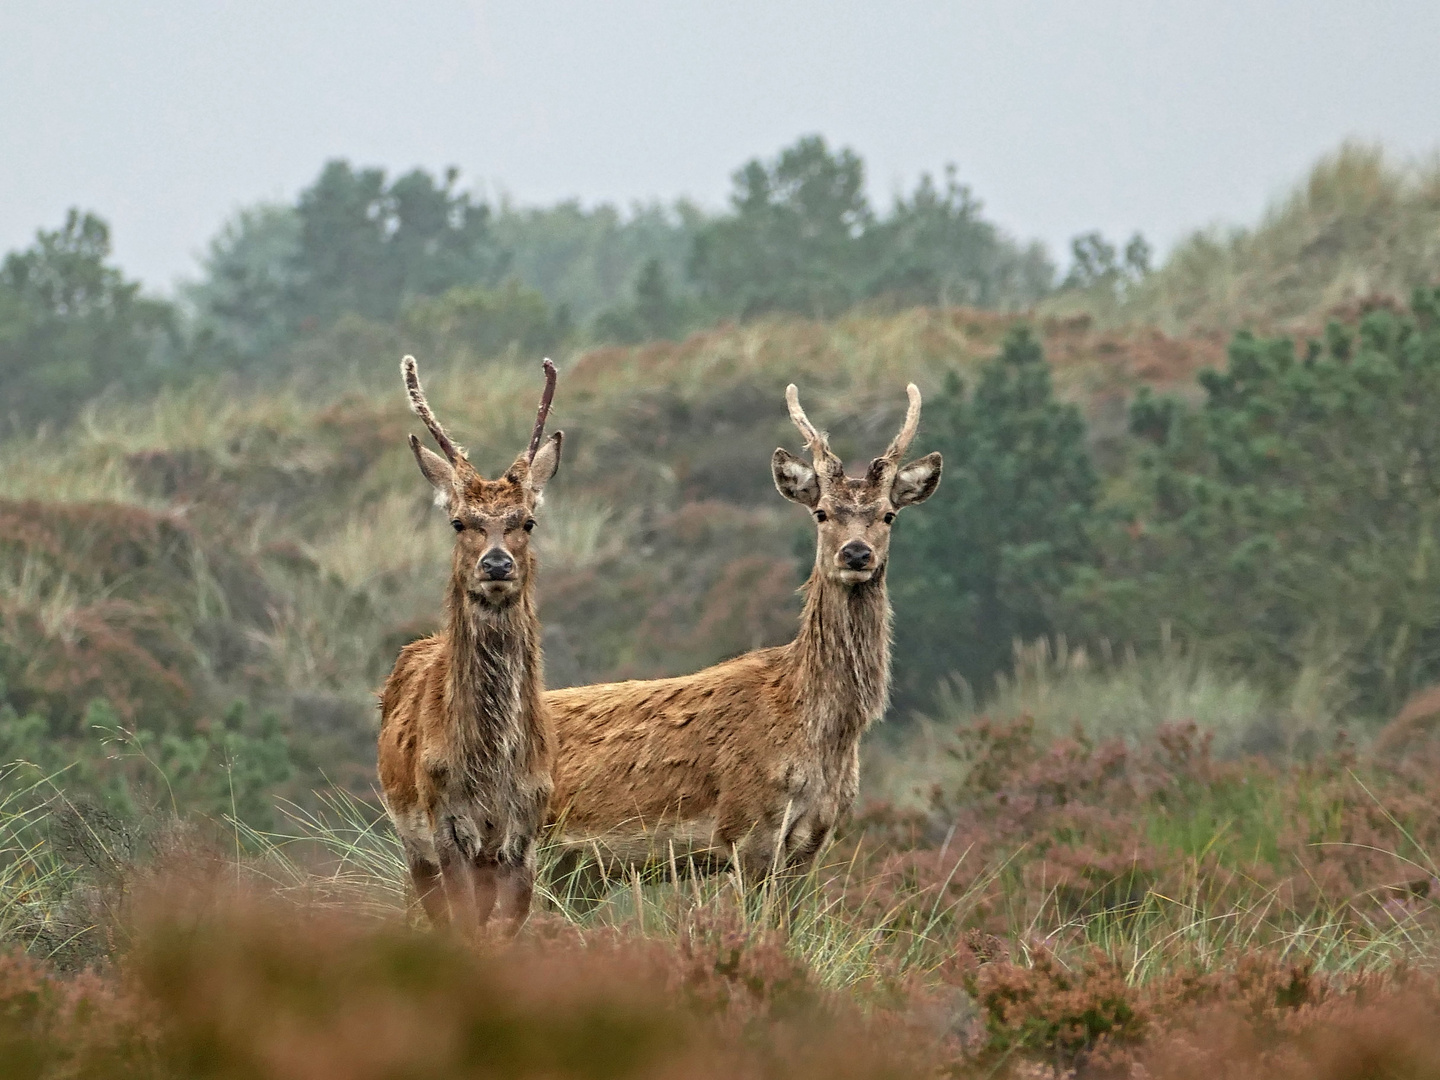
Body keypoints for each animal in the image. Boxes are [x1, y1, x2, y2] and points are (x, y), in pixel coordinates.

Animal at [377, 357, 561, 938]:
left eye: (527, 521)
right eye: (461, 522)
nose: (496, 564)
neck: (489, 770)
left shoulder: (527, 822)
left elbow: (505, 925)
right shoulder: (445, 817)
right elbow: (463, 924)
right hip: (409, 834)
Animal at [544, 383, 938, 881]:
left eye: (888, 514)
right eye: (821, 513)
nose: (855, 553)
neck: (824, 731)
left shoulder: (812, 840)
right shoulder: (747, 827)